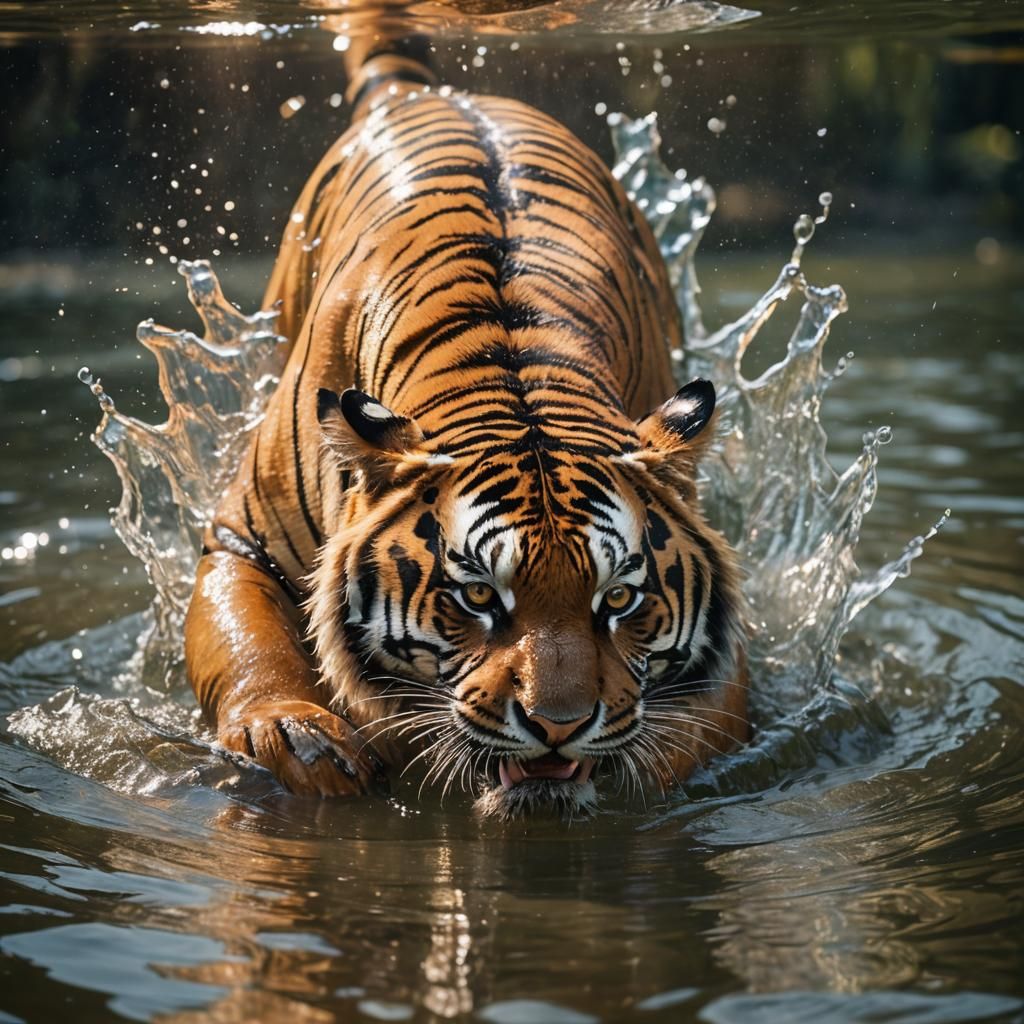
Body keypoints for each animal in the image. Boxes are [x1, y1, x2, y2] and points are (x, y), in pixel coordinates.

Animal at [184, 33, 750, 819]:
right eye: (478, 596)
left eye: (619, 599)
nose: (558, 726)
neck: (512, 376)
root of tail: (427, 92)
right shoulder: (245, 539)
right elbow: (248, 642)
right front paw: (296, 737)